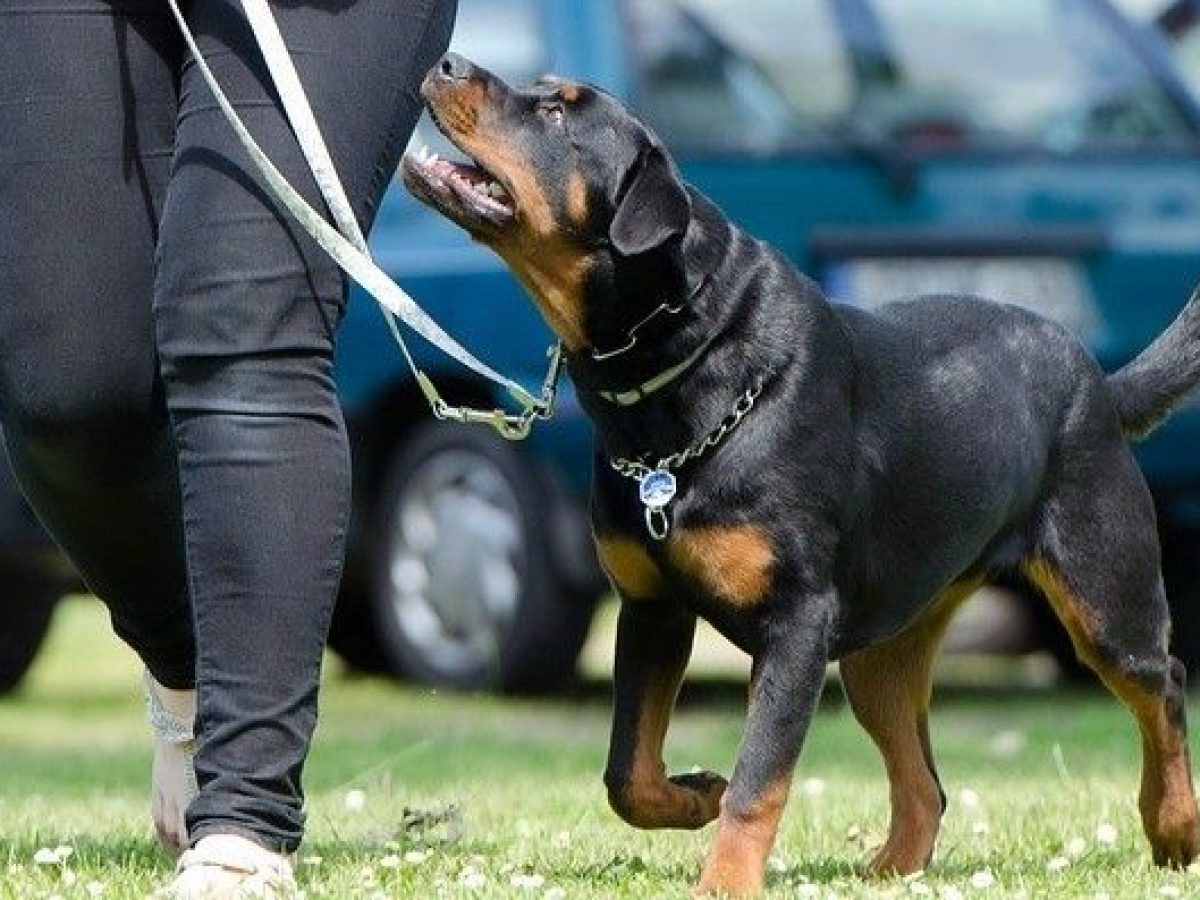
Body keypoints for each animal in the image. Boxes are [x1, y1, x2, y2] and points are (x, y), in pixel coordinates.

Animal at [400, 54, 1200, 897]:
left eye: (556, 114)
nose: (449, 61)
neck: (678, 369)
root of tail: (1101, 385)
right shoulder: (652, 608)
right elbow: (627, 774)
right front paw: (694, 796)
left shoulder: (797, 625)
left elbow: (760, 779)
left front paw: (724, 879)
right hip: (881, 651)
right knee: (924, 780)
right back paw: (888, 870)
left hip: (1102, 590)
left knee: (1163, 684)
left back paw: (1174, 828)